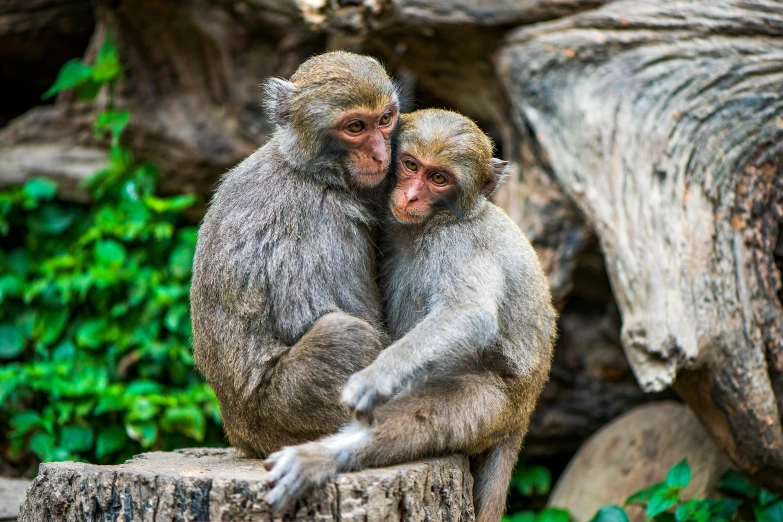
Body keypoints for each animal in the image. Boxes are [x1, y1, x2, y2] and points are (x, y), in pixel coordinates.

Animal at [188, 51, 398, 460]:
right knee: (345, 334)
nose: (381, 154)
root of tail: (244, 437)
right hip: (288, 410)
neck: (310, 172)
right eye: (355, 127)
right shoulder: (327, 221)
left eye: (385, 119)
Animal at [264, 106, 556, 520]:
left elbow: (468, 313)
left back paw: (323, 458)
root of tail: (527, 406)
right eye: (411, 165)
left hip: (495, 403)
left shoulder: (458, 242)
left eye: (439, 179)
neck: (438, 221)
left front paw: (375, 378)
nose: (413, 194)